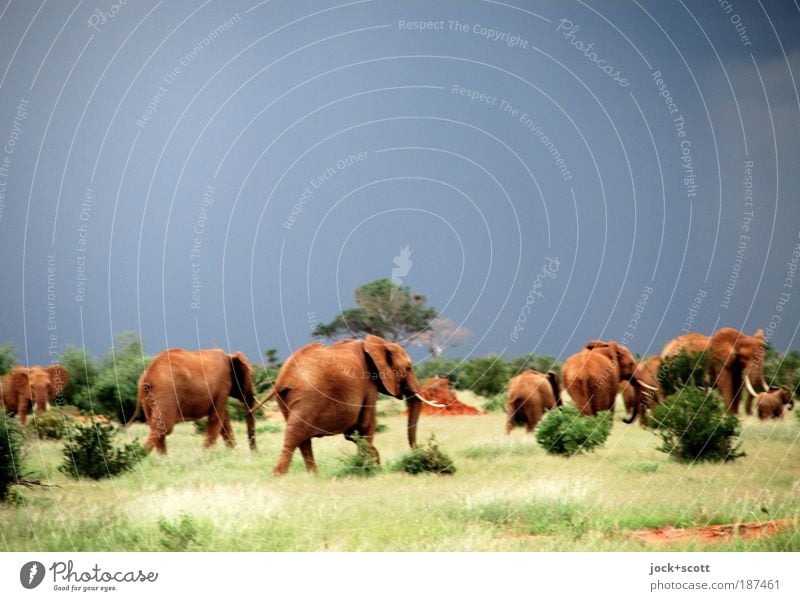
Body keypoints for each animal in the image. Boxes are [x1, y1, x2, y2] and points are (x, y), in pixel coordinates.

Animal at [260, 332, 440, 474]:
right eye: (408, 368)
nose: (419, 453)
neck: (377, 344)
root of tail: (283, 377)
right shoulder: (368, 386)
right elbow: (367, 424)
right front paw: (370, 468)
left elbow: (352, 433)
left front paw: (371, 463)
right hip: (308, 396)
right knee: (296, 434)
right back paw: (279, 475)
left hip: (286, 399)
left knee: (302, 439)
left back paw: (313, 475)